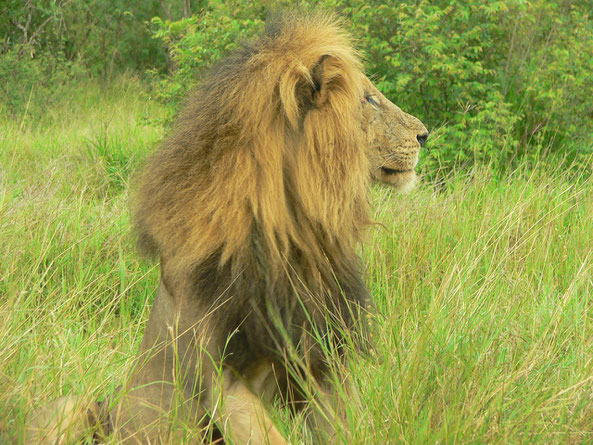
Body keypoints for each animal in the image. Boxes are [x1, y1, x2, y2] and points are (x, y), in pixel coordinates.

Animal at [26, 10, 426, 444]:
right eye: (368, 100)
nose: (424, 134)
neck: (293, 237)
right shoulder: (222, 380)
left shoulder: (322, 362)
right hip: (78, 407)